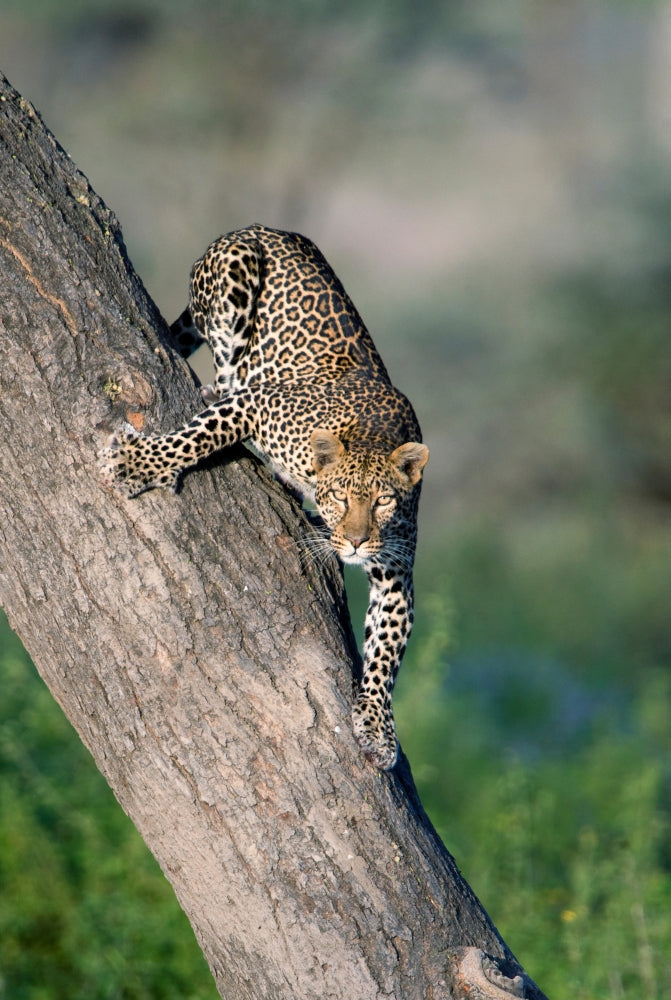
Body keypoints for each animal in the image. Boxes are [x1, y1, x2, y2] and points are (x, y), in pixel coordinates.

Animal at [99, 224, 428, 770]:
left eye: (383, 501)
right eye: (341, 497)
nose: (357, 543)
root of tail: (263, 228)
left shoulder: (396, 572)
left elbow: (384, 655)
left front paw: (378, 729)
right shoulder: (259, 404)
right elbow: (197, 437)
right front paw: (136, 463)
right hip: (236, 269)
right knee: (223, 358)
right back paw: (219, 386)